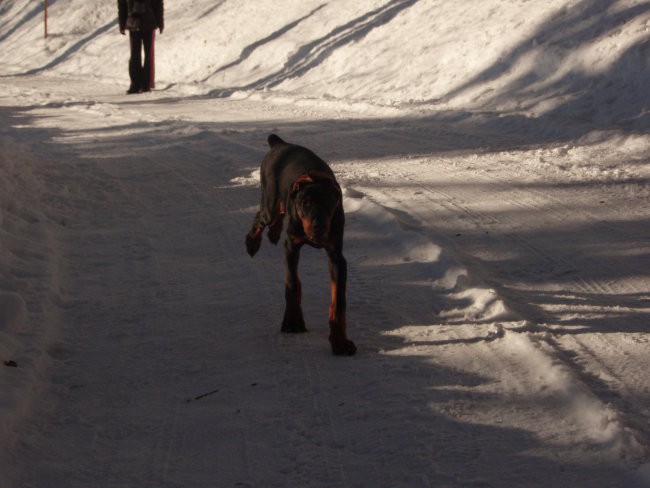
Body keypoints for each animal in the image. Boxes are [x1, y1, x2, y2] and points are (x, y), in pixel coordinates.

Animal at [244, 133, 354, 354]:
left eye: (329, 202)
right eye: (305, 203)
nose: (318, 226)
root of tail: (279, 143)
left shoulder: (336, 256)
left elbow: (338, 301)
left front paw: (340, 341)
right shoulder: (292, 247)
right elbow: (293, 284)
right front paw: (293, 322)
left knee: (277, 215)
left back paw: (274, 233)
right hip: (270, 201)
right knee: (262, 217)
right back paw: (252, 242)